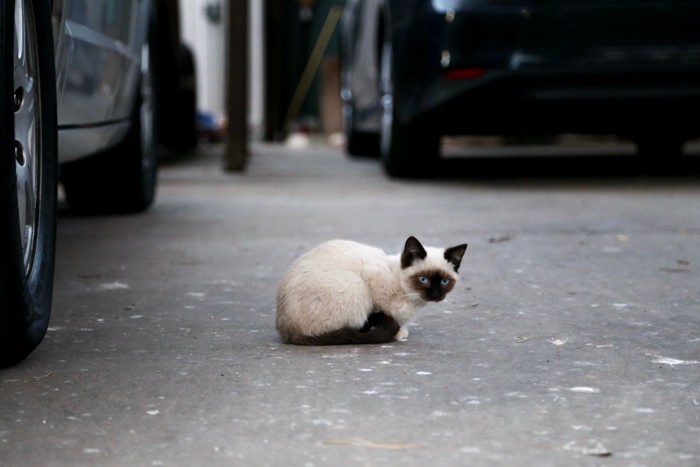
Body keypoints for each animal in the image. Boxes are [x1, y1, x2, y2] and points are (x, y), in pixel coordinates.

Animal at [276, 236, 468, 346]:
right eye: (423, 280)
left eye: (444, 281)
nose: (435, 295)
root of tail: (287, 330)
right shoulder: (371, 277)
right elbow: (385, 311)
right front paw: (398, 331)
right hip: (355, 285)